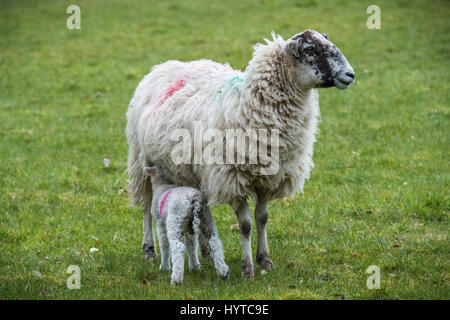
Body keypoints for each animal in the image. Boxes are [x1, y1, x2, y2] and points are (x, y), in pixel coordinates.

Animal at [127, 30, 356, 278]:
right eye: (310, 50)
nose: (350, 74)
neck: (247, 103)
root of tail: (161, 66)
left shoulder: (268, 177)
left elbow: (262, 219)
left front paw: (265, 259)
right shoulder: (232, 178)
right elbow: (245, 225)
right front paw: (247, 268)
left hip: (193, 170)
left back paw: (205, 250)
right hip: (142, 162)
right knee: (146, 207)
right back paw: (149, 249)